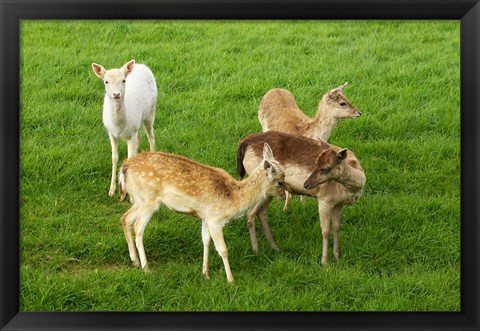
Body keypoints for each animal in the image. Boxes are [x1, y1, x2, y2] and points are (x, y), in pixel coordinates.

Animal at [118, 144, 286, 284]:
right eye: (279, 181)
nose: (284, 196)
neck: (232, 199)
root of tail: (124, 168)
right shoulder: (215, 219)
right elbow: (223, 249)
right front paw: (231, 280)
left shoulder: (206, 217)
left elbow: (206, 241)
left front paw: (206, 273)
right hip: (149, 201)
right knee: (138, 227)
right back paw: (146, 268)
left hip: (139, 200)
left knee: (126, 218)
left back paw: (135, 261)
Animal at [238, 132, 366, 264]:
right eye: (316, 162)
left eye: (325, 168)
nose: (306, 184)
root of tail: (244, 143)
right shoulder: (324, 199)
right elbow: (325, 230)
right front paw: (324, 262)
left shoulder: (338, 203)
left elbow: (337, 226)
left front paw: (337, 256)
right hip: (261, 189)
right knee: (250, 213)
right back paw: (256, 250)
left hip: (271, 192)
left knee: (261, 213)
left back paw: (275, 247)